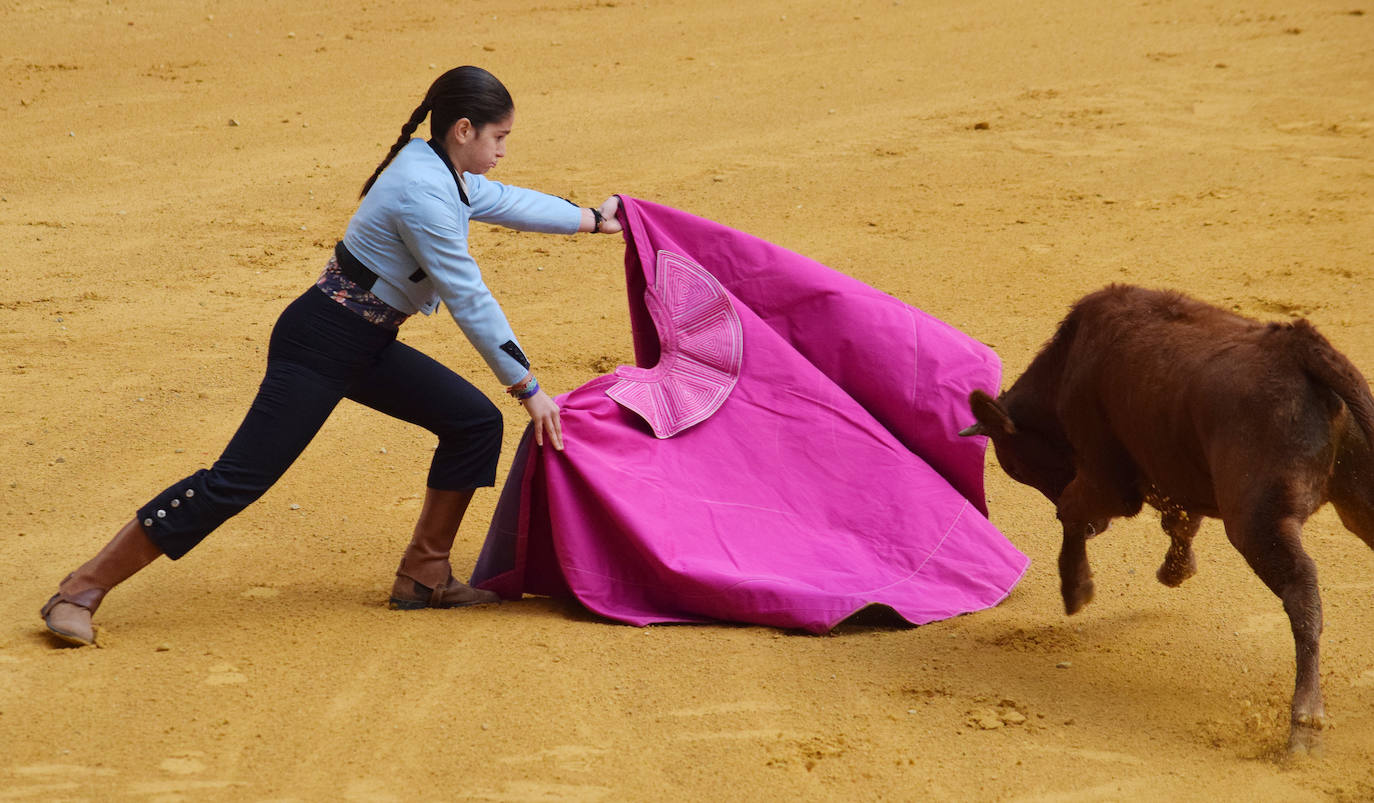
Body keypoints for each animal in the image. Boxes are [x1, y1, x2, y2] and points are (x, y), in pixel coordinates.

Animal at [961, 286, 1374, 753]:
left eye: (1018, 465)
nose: (1099, 529)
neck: (1068, 363)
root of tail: (1301, 349)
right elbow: (1178, 522)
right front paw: (1174, 570)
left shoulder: (1107, 478)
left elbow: (1070, 509)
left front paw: (1076, 590)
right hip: (1358, 500)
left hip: (1255, 522)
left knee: (1300, 590)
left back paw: (1304, 721)